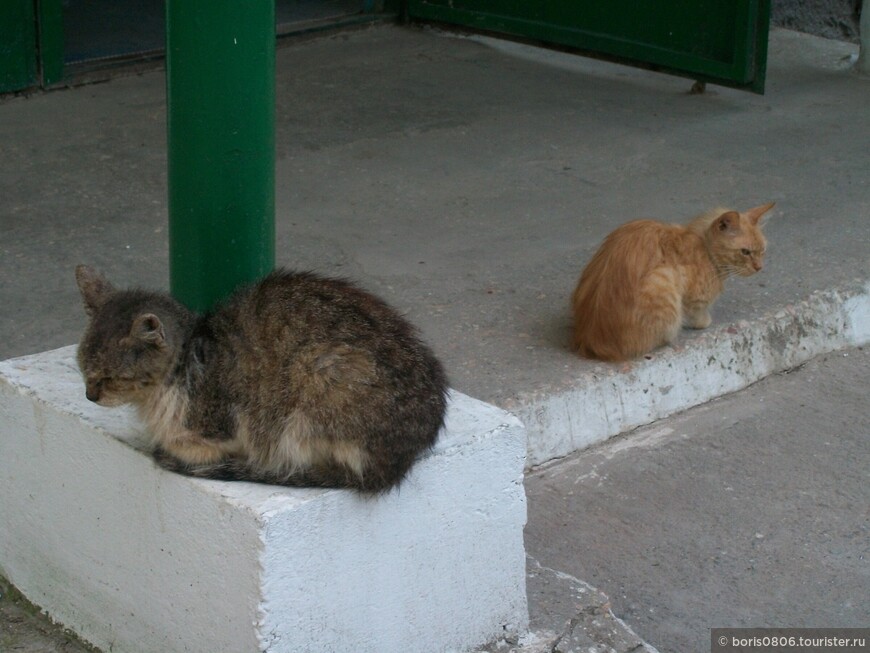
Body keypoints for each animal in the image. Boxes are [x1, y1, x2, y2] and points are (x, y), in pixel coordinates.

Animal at [75, 262, 450, 492]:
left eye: (110, 377)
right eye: (82, 368)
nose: (90, 395)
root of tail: (398, 461)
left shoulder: (220, 423)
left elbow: (191, 444)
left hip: (317, 379)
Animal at [572, 202, 776, 362]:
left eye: (762, 250)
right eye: (745, 252)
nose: (759, 267)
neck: (705, 249)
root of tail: (592, 339)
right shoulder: (693, 296)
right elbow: (696, 312)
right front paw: (702, 321)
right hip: (663, 283)